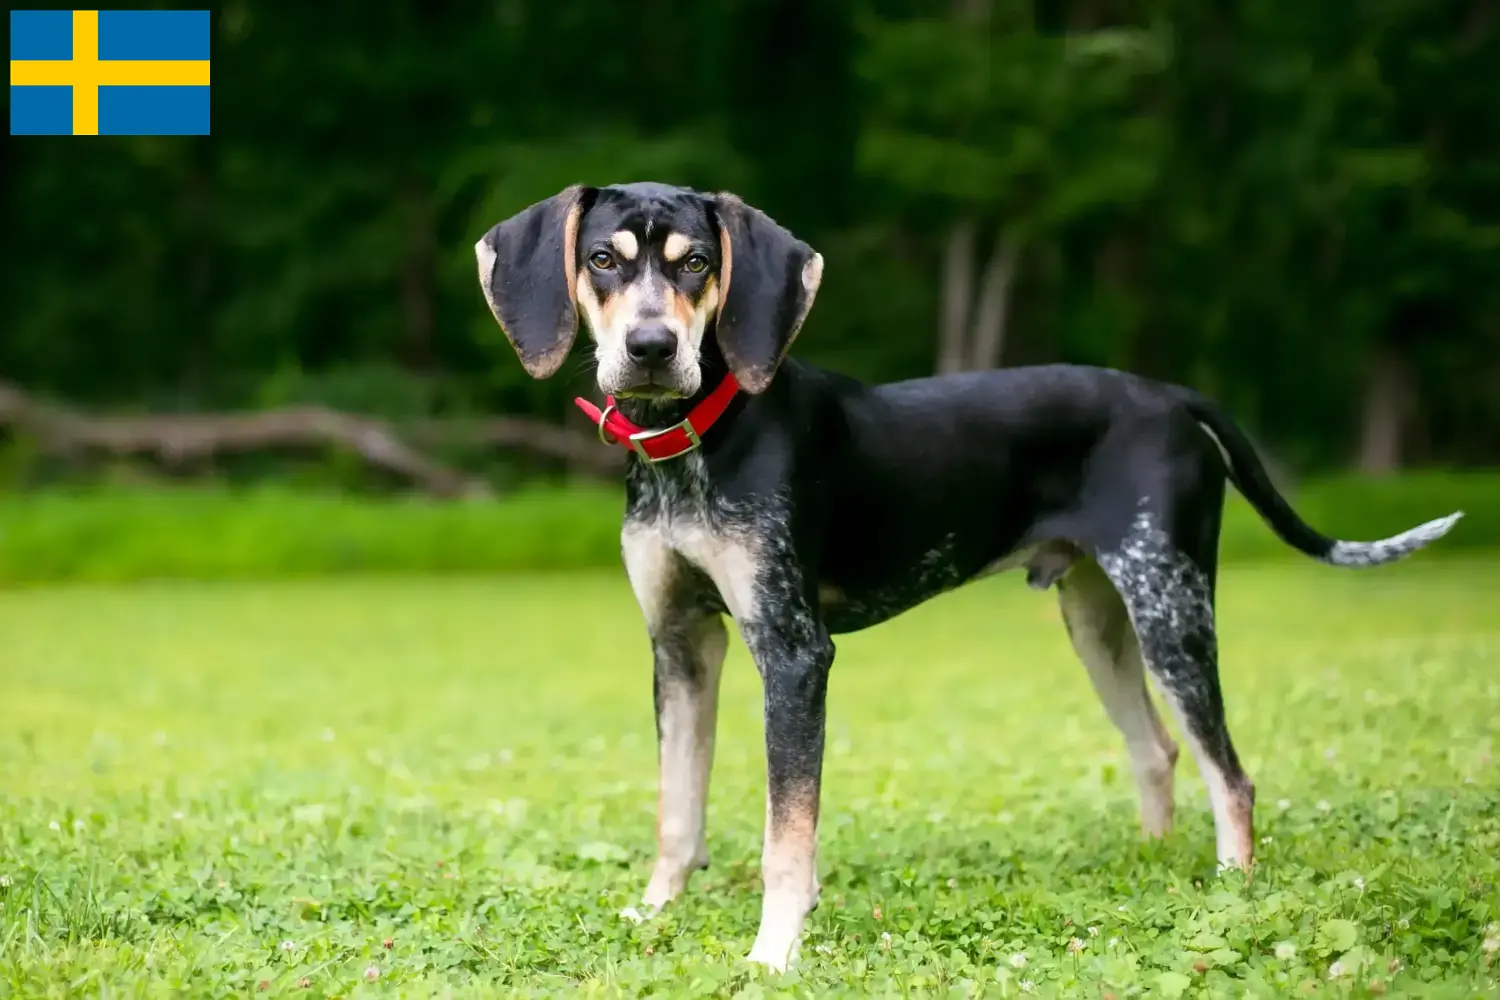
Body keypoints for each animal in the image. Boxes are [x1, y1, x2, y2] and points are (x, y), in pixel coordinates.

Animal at [477, 182, 1464, 971]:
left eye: (697, 265)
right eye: (602, 259)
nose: (650, 348)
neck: (697, 441)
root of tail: (1169, 396)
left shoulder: (794, 653)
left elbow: (786, 834)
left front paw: (773, 952)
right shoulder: (680, 644)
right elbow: (677, 811)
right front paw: (655, 913)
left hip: (1173, 610)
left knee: (1232, 775)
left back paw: (1228, 888)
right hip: (1100, 619)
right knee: (1157, 749)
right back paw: (1153, 866)